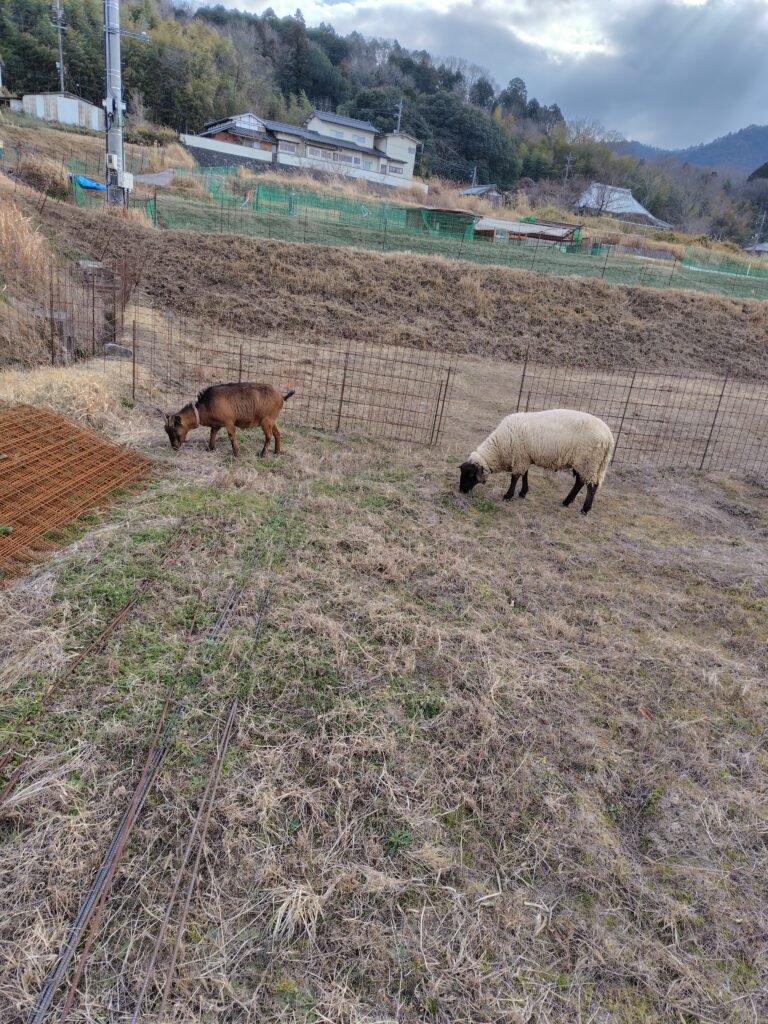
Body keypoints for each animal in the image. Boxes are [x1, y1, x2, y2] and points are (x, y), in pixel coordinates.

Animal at [164, 382, 295, 458]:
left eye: (175, 430)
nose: (174, 447)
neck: (206, 406)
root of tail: (282, 397)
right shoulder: (216, 424)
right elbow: (212, 433)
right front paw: (210, 448)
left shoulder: (229, 422)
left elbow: (231, 436)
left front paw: (236, 454)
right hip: (273, 420)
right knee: (277, 434)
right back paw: (276, 452)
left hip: (266, 421)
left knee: (269, 436)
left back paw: (262, 454)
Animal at [458, 409, 615, 514]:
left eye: (470, 475)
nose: (461, 491)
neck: (499, 447)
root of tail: (609, 437)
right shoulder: (525, 457)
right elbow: (525, 475)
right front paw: (523, 493)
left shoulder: (520, 456)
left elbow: (515, 477)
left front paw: (508, 496)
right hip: (584, 462)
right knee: (580, 482)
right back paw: (566, 502)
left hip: (589, 461)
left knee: (591, 485)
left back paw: (585, 509)